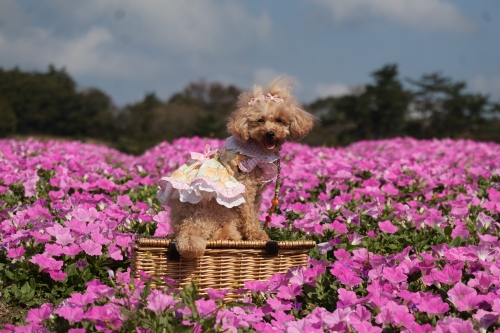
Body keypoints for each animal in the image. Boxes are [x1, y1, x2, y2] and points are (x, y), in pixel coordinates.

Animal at [157, 75, 312, 256]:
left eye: (280, 120)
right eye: (260, 120)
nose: (270, 134)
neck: (256, 147)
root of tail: (187, 228)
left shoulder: (256, 195)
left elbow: (253, 213)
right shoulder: (246, 188)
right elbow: (249, 216)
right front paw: (257, 235)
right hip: (220, 211)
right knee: (217, 234)